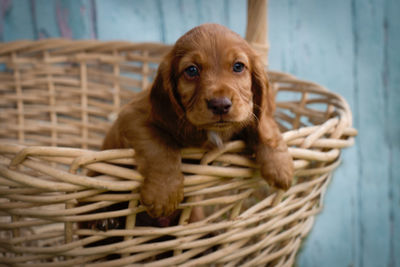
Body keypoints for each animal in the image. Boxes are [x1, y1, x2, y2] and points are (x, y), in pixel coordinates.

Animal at [101, 23, 292, 220]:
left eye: (238, 66)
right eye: (191, 70)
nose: (220, 105)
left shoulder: (246, 115)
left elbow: (263, 127)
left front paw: (281, 165)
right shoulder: (132, 116)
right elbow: (160, 146)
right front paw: (163, 193)